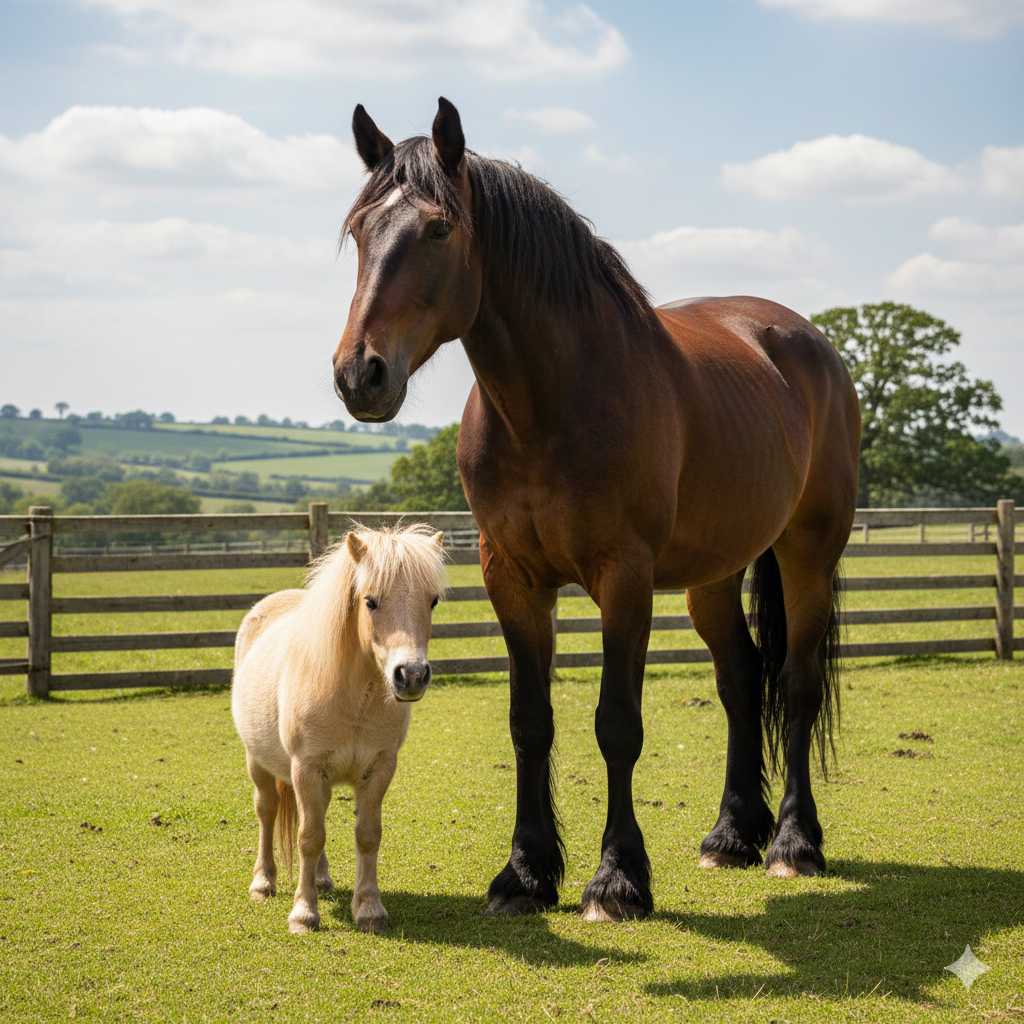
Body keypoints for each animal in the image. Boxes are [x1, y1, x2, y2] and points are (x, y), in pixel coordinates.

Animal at [231, 525, 447, 933]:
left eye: (433, 601)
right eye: (370, 602)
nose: (411, 675)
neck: (353, 699)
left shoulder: (379, 769)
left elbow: (367, 836)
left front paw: (369, 909)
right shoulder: (306, 768)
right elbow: (309, 837)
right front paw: (303, 914)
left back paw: (320, 878)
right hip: (257, 763)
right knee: (267, 812)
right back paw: (263, 882)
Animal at [331, 98, 861, 922]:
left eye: (439, 229)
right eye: (361, 230)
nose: (361, 374)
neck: (552, 405)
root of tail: (805, 341)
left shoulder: (625, 579)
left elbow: (617, 725)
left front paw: (617, 879)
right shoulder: (511, 578)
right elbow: (529, 723)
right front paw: (524, 873)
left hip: (808, 551)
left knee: (797, 684)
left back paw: (793, 845)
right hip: (715, 573)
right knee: (742, 678)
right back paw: (732, 835)